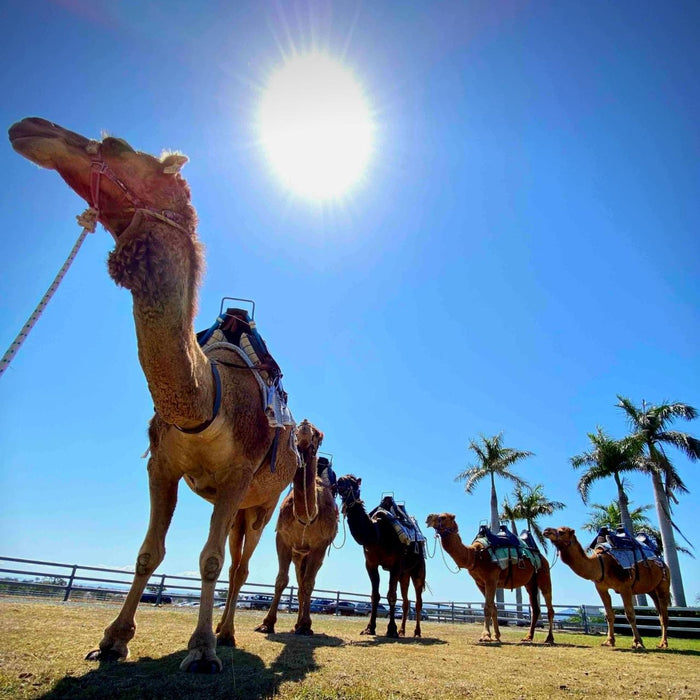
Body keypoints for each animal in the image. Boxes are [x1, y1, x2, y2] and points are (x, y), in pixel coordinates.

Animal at [9, 117, 301, 673]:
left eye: (119, 146)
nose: (29, 128)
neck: (208, 401)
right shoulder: (163, 466)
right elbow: (149, 552)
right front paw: (112, 640)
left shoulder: (238, 476)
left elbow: (209, 560)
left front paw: (203, 650)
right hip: (242, 506)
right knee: (235, 557)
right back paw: (224, 631)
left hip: (264, 501)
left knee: (240, 564)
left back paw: (226, 635)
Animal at [254, 419, 338, 635]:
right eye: (296, 428)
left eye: (318, 435)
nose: (306, 426)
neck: (307, 518)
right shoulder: (283, 539)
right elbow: (281, 580)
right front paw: (266, 624)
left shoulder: (320, 546)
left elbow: (308, 584)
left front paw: (306, 625)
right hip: (298, 554)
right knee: (299, 581)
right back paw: (296, 624)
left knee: (304, 583)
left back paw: (301, 624)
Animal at [336, 475, 425, 638]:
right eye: (343, 479)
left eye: (354, 483)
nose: (339, 481)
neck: (377, 534)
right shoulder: (371, 564)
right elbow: (375, 595)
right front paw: (369, 628)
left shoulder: (395, 566)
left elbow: (391, 596)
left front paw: (391, 630)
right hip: (404, 574)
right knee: (406, 602)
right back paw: (402, 631)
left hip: (418, 569)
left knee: (418, 601)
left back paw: (416, 632)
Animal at [426, 513, 555, 644]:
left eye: (443, 517)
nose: (428, 518)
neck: (475, 555)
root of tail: (541, 556)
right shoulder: (480, 583)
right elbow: (493, 607)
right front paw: (497, 635)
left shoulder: (491, 579)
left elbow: (487, 607)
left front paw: (485, 636)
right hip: (530, 582)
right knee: (535, 608)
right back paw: (528, 637)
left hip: (544, 573)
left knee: (549, 606)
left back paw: (549, 638)